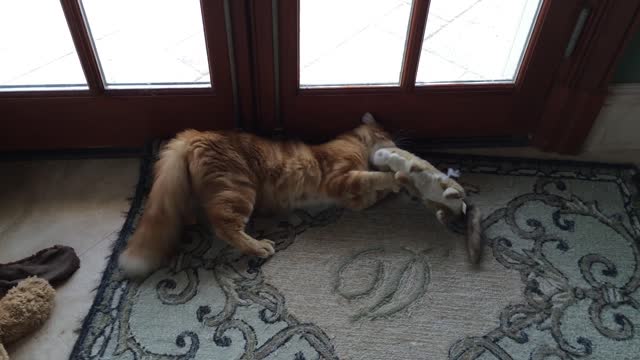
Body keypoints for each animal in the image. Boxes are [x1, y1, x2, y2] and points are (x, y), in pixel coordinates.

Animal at [119, 114, 400, 278]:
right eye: (388, 135)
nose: (398, 145)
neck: (355, 143)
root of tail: (197, 133)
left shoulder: (355, 200)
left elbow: (376, 192)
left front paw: (396, 186)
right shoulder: (341, 179)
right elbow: (374, 178)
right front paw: (398, 177)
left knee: (194, 214)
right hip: (238, 191)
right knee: (224, 227)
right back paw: (258, 246)